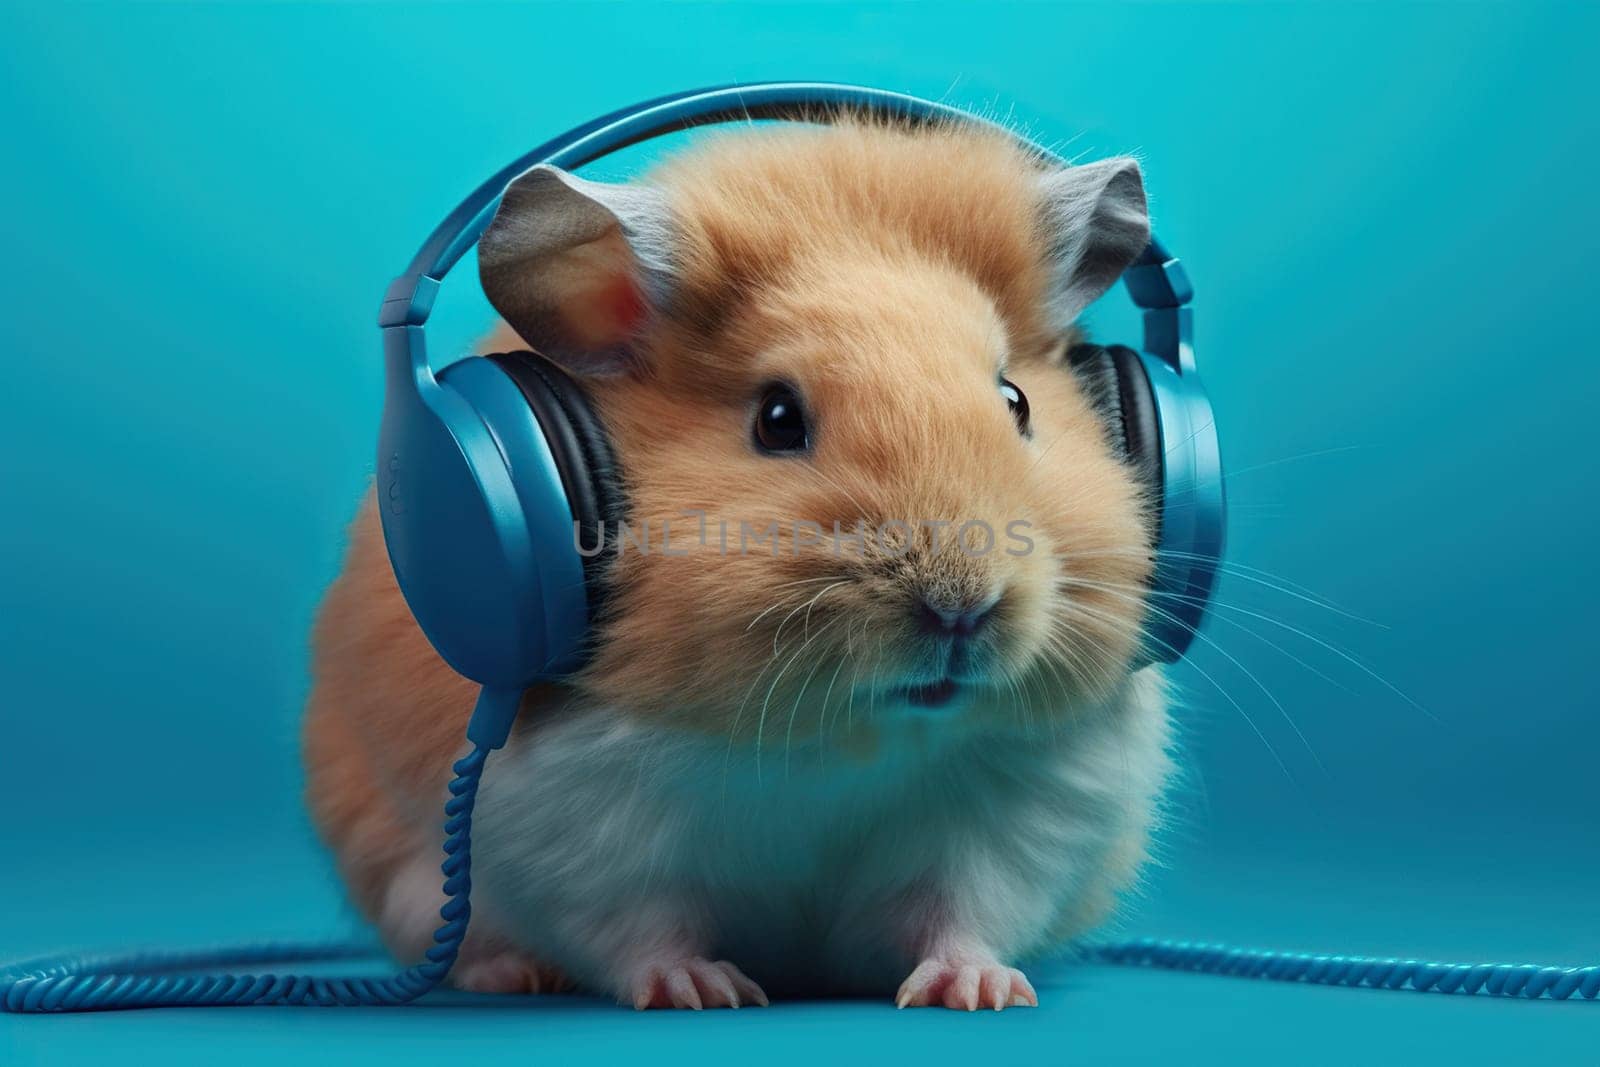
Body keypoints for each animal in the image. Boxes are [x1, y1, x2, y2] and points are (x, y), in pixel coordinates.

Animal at [302, 116, 1177, 1011]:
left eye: (1017, 401)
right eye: (778, 419)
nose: (962, 610)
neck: (849, 736)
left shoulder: (1011, 820)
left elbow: (961, 913)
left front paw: (979, 992)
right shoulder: (580, 834)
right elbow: (641, 929)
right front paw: (702, 991)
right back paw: (517, 975)